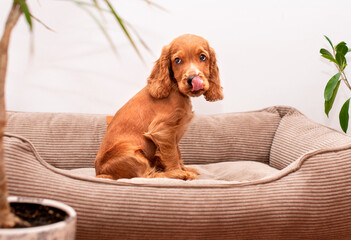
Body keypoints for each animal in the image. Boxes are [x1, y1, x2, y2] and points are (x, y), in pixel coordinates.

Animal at [95, 34, 224, 180]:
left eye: (203, 57)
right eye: (177, 60)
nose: (192, 79)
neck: (174, 88)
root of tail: (100, 172)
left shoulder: (174, 133)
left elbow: (178, 152)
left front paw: (185, 168)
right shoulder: (163, 130)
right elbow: (172, 154)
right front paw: (179, 172)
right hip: (132, 154)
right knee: (146, 175)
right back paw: (174, 174)